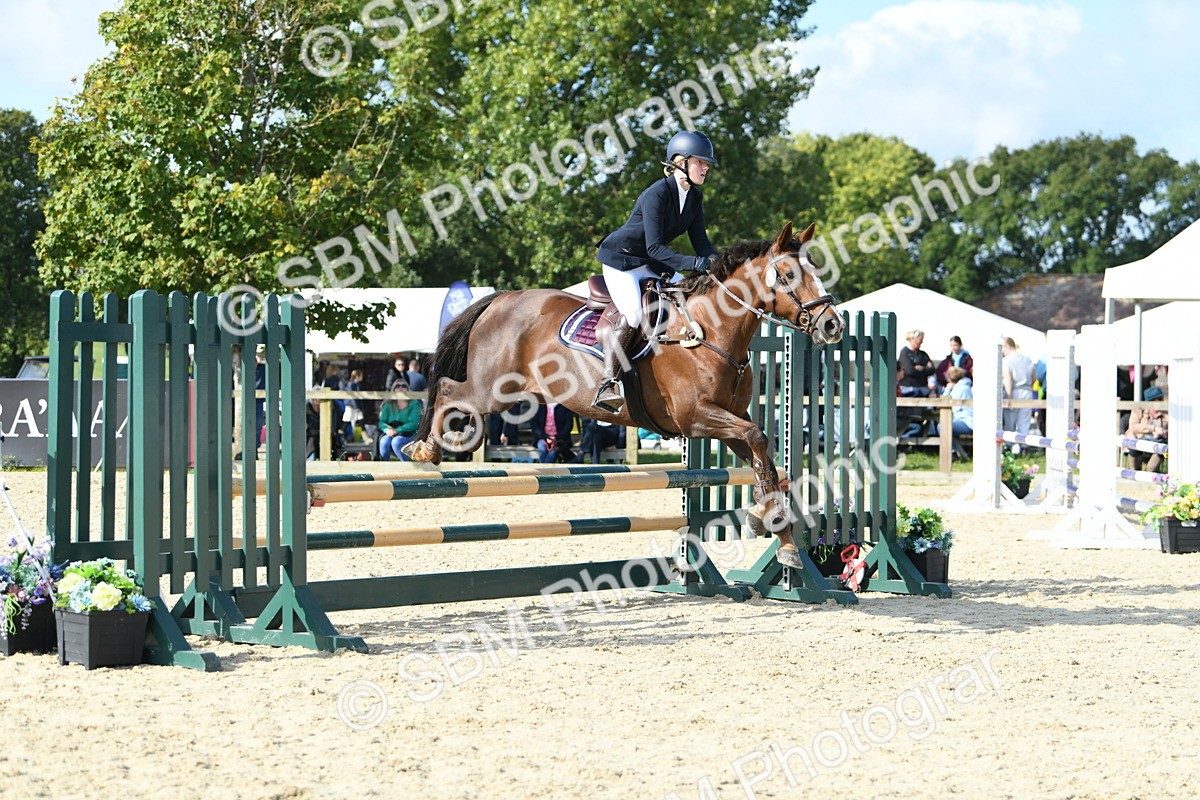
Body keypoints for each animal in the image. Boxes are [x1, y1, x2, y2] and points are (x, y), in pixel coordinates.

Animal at [403, 222, 844, 567]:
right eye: (787, 275)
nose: (833, 326)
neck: (711, 331)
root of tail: (502, 299)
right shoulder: (695, 417)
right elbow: (758, 440)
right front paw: (767, 519)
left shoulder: (729, 419)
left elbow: (761, 454)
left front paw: (778, 533)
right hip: (494, 389)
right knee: (449, 389)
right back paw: (426, 448)